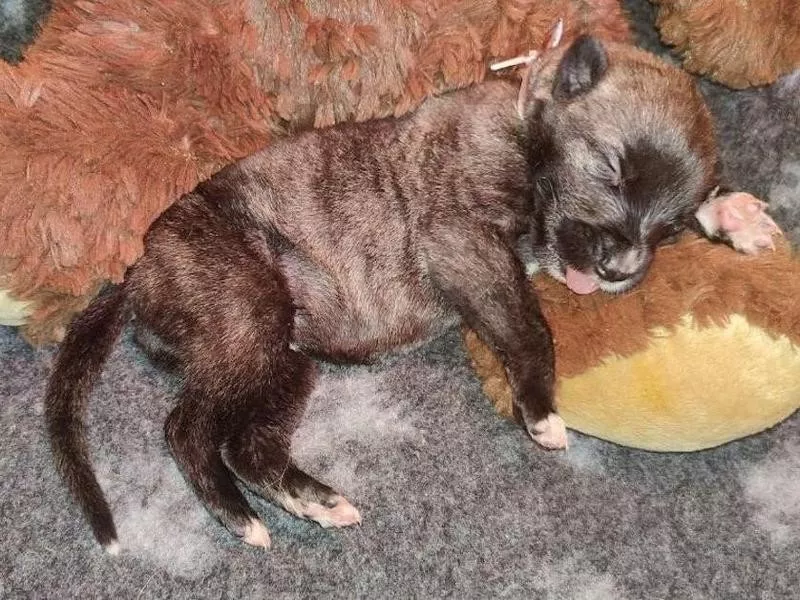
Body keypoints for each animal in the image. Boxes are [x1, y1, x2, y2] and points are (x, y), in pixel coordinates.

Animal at [45, 36, 780, 552]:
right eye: (611, 170)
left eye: (668, 224)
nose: (622, 267)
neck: (524, 125)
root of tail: (136, 269)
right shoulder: (461, 235)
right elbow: (528, 323)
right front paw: (540, 407)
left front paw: (731, 214)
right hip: (244, 314)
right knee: (186, 429)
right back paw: (241, 519)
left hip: (281, 358)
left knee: (250, 444)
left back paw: (312, 501)